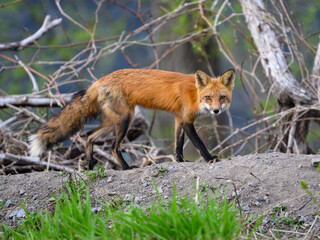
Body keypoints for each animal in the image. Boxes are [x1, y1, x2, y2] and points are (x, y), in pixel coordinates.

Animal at [30, 68, 235, 170]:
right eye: (208, 97)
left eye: (222, 97)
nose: (216, 111)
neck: (194, 94)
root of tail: (98, 81)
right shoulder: (186, 120)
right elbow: (199, 144)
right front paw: (210, 158)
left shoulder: (179, 118)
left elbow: (178, 144)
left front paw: (180, 161)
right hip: (125, 120)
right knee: (113, 147)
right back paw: (127, 167)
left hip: (114, 121)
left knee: (89, 135)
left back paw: (89, 165)